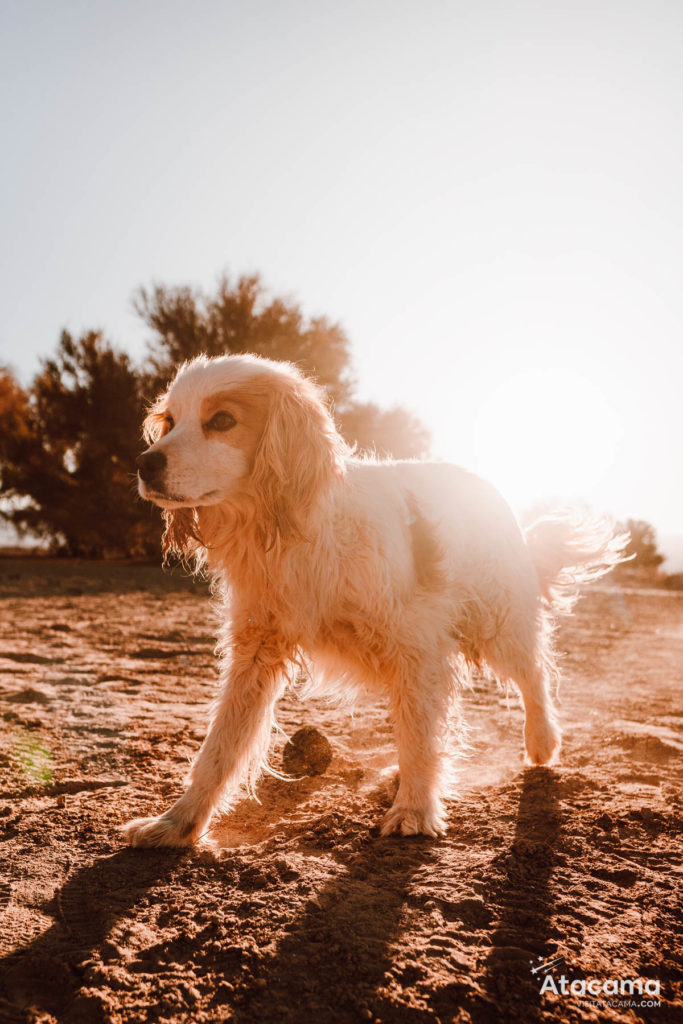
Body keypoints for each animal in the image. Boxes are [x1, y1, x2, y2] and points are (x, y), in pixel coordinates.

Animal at [124, 354, 630, 847]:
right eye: (171, 421)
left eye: (223, 420)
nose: (144, 464)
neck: (302, 531)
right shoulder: (256, 651)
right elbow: (219, 748)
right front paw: (177, 823)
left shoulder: (418, 645)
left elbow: (421, 733)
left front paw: (415, 809)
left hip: (499, 623)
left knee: (534, 675)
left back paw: (542, 741)